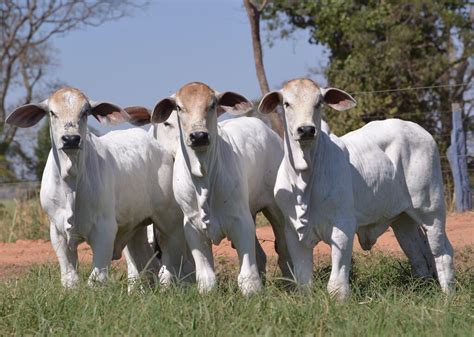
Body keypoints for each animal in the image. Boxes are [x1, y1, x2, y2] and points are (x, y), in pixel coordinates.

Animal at [7, 87, 186, 288]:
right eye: (52, 113)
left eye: (85, 112)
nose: (71, 139)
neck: (71, 183)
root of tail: (162, 150)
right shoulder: (57, 231)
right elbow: (70, 278)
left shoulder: (104, 231)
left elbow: (96, 279)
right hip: (136, 227)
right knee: (146, 265)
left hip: (170, 222)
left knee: (171, 262)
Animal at [260, 77, 456, 298]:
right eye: (286, 103)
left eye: (319, 103)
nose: (307, 130)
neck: (305, 177)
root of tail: (417, 129)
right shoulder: (294, 233)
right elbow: (303, 282)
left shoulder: (343, 227)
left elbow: (336, 283)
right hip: (402, 219)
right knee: (417, 254)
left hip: (431, 209)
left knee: (442, 251)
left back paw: (447, 295)